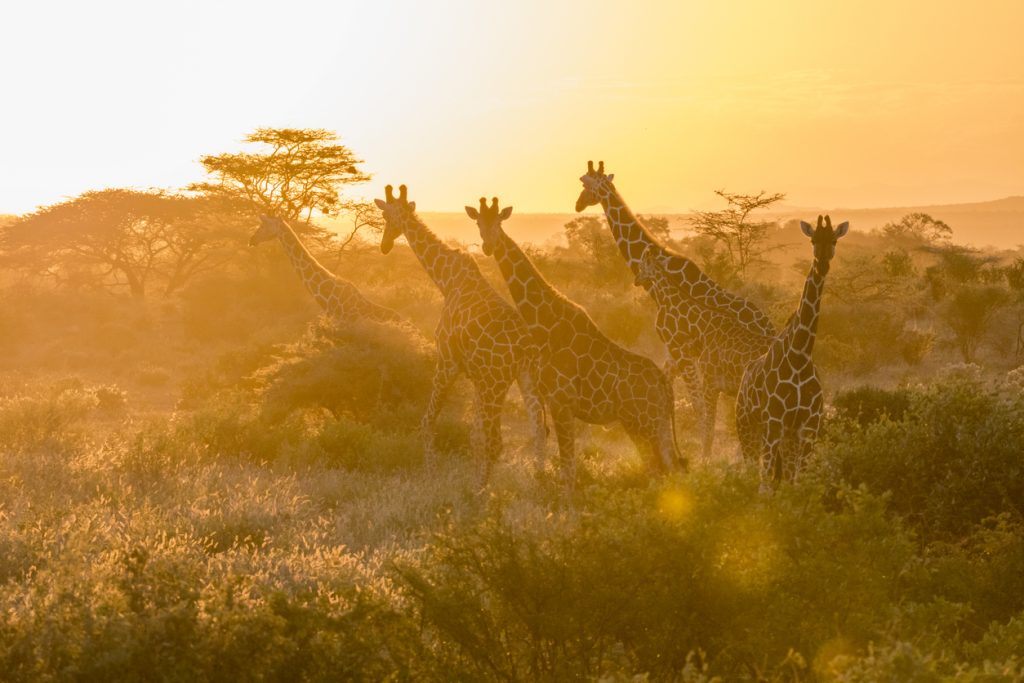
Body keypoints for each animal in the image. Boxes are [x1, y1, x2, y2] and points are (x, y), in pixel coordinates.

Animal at [374, 185, 546, 476]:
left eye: (387, 216)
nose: (385, 246)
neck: (445, 280)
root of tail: (525, 348)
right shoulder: (474, 374)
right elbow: (474, 434)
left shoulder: (447, 361)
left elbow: (427, 422)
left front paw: (431, 475)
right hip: (527, 376)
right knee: (539, 431)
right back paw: (544, 483)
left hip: (495, 383)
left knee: (497, 442)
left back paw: (481, 488)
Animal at [467, 196, 681, 490]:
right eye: (478, 222)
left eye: (498, 221)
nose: (488, 246)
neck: (544, 322)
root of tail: (665, 388)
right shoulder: (555, 402)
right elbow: (567, 466)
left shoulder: (561, 403)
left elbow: (568, 469)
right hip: (652, 425)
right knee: (666, 469)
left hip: (641, 423)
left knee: (658, 470)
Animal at [575, 160, 776, 459]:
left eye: (587, 185)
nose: (577, 204)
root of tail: (770, 328)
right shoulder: (673, 350)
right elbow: (667, 388)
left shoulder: (682, 349)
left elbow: (697, 405)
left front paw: (703, 455)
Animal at [735, 214, 848, 487]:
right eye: (812, 240)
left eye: (834, 240)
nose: (822, 265)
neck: (799, 355)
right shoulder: (774, 422)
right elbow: (765, 483)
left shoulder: (807, 426)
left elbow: (797, 482)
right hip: (747, 427)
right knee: (752, 472)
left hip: (785, 436)